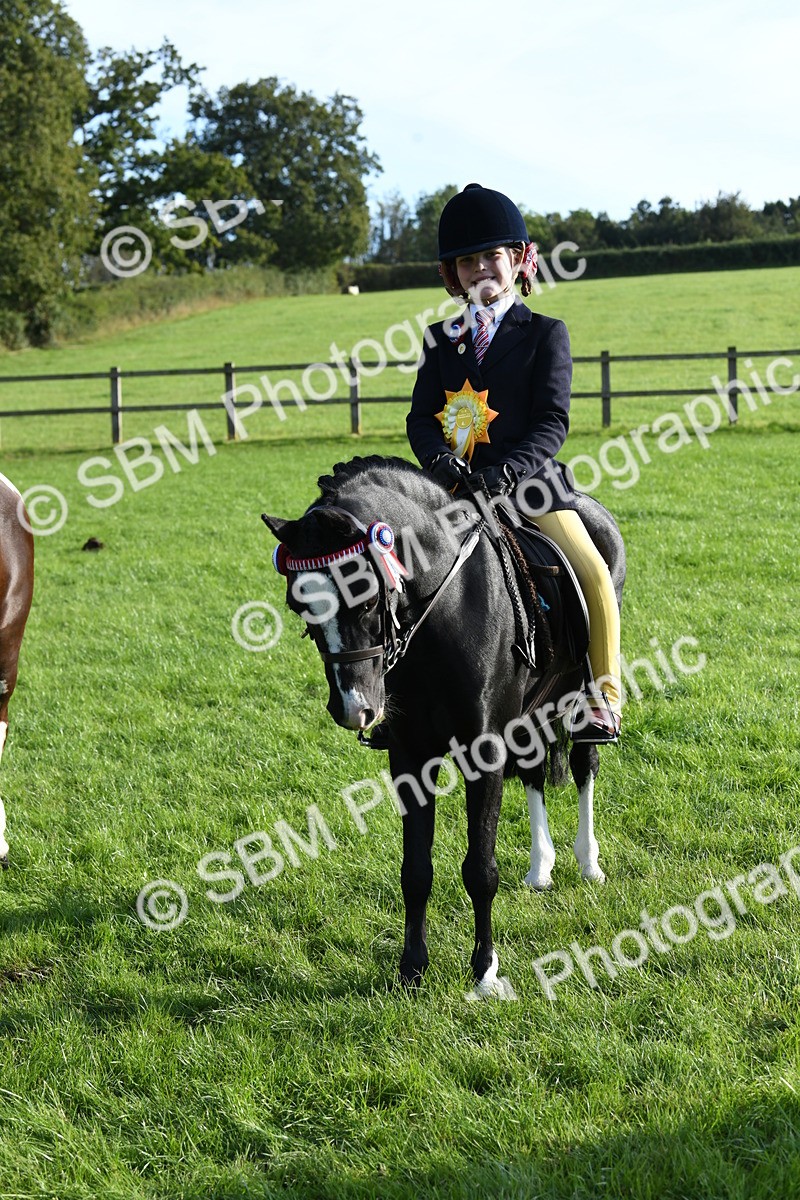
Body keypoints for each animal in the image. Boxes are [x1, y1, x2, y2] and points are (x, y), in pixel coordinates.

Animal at [263, 456, 625, 994]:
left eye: (365, 597)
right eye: (298, 605)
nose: (354, 708)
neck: (443, 610)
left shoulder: (485, 752)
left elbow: (480, 868)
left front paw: (486, 972)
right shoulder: (409, 756)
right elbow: (415, 870)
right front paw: (412, 967)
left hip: (580, 692)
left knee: (584, 764)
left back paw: (587, 862)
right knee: (535, 770)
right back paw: (541, 868)